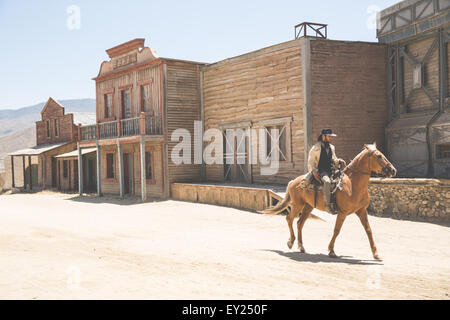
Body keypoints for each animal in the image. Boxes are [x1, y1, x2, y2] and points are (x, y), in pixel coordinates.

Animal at [260, 142, 398, 260]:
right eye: (379, 156)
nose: (393, 170)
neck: (352, 184)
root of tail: (294, 181)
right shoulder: (342, 213)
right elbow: (337, 230)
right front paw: (331, 250)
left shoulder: (362, 211)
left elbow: (368, 230)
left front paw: (376, 254)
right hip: (298, 205)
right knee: (289, 219)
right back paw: (290, 242)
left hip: (308, 206)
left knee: (299, 223)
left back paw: (301, 247)